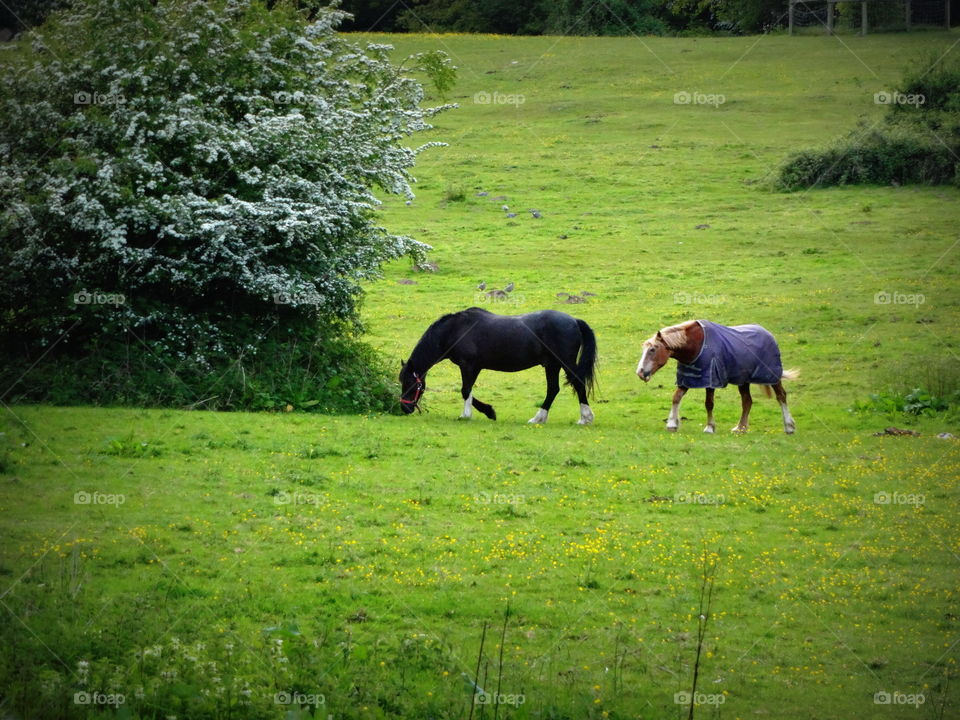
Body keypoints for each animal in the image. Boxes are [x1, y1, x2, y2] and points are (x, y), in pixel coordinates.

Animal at [396, 308, 592, 422]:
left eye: (410, 383)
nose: (404, 408)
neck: (455, 330)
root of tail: (574, 320)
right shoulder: (474, 367)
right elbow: (469, 392)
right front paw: (489, 411)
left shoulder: (468, 366)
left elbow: (465, 391)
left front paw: (466, 415)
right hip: (551, 365)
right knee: (553, 389)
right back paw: (538, 418)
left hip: (564, 363)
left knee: (578, 383)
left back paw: (585, 418)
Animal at [632, 320, 800, 434]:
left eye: (653, 349)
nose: (640, 372)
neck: (695, 345)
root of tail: (768, 334)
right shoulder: (687, 379)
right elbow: (676, 398)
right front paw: (672, 424)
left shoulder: (710, 381)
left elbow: (709, 403)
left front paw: (709, 427)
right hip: (743, 381)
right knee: (747, 401)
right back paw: (741, 428)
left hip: (773, 377)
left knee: (781, 396)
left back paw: (789, 426)